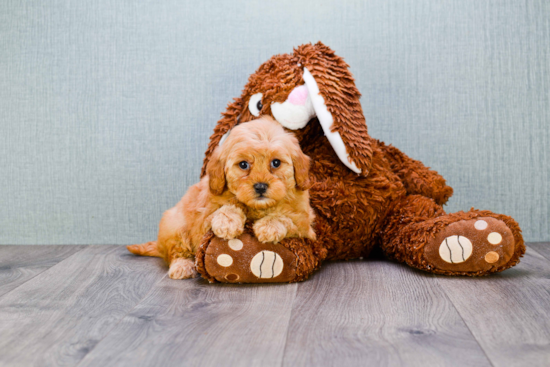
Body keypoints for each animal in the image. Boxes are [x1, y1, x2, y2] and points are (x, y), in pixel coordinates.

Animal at [128, 116, 316, 280]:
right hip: (175, 225)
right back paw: (182, 266)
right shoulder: (203, 220)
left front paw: (269, 227)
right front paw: (228, 223)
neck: (257, 207)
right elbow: (225, 208)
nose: (261, 186)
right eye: (243, 165)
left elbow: (286, 218)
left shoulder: (304, 222)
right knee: (177, 250)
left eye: (276, 163)